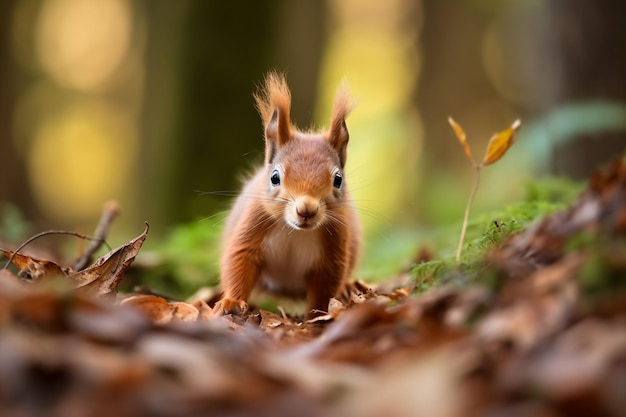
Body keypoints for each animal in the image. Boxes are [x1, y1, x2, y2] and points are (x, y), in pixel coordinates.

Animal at [213, 72, 360, 318]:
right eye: (274, 177)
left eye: (338, 180)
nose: (306, 210)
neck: (295, 231)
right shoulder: (254, 224)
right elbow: (239, 261)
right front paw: (231, 302)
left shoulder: (334, 244)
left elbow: (326, 287)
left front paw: (317, 316)